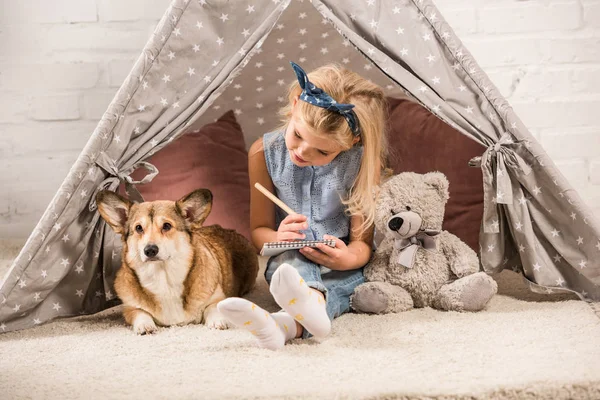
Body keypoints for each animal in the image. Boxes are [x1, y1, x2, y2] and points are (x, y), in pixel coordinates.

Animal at [95, 189, 258, 332]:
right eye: (139, 228)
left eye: (167, 226)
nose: (150, 250)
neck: (164, 277)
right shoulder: (130, 308)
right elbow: (140, 313)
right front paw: (144, 326)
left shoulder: (217, 298)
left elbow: (213, 308)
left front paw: (218, 321)